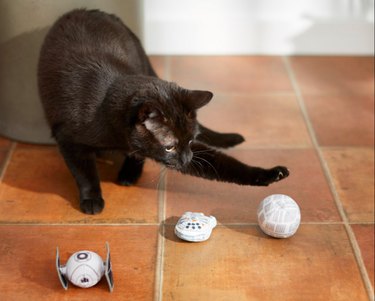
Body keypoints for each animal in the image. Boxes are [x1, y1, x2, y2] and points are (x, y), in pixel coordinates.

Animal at [38, 8, 290, 213]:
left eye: (190, 141)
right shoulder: (67, 138)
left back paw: (129, 175)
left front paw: (270, 173)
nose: (187, 158)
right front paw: (91, 199)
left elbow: (227, 165)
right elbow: (84, 172)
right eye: (170, 147)